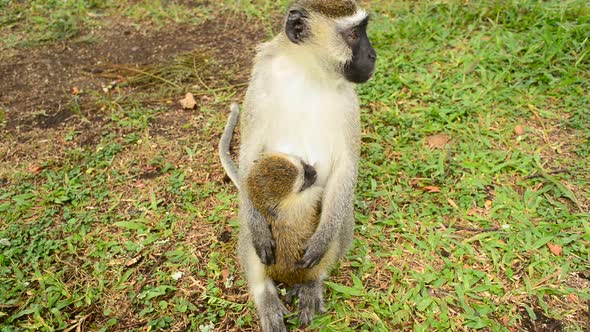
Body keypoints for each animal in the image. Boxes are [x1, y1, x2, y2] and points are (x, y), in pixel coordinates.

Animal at [224, 0, 376, 330]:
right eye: (354, 34)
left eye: (362, 31)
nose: (373, 56)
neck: (310, 71)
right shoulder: (262, 77)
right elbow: (250, 153)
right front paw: (258, 232)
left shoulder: (349, 99)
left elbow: (346, 166)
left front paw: (320, 245)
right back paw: (264, 294)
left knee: (340, 214)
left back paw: (310, 283)